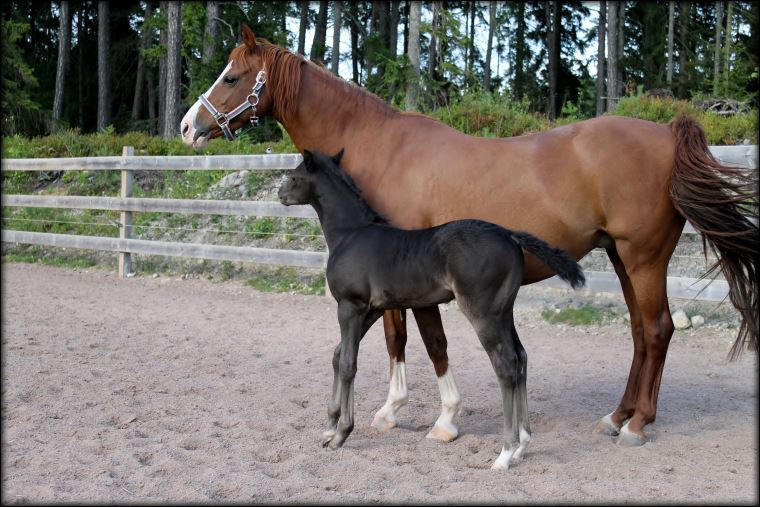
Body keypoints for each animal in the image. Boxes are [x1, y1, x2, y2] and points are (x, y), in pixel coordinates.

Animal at [276, 151, 584, 472]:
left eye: (295, 176)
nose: (280, 194)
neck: (350, 235)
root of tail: (509, 235)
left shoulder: (351, 306)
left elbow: (348, 363)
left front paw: (341, 434)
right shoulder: (371, 310)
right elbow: (337, 356)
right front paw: (329, 428)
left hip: (483, 313)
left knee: (506, 365)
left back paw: (505, 453)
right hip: (504, 312)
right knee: (521, 357)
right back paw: (523, 444)